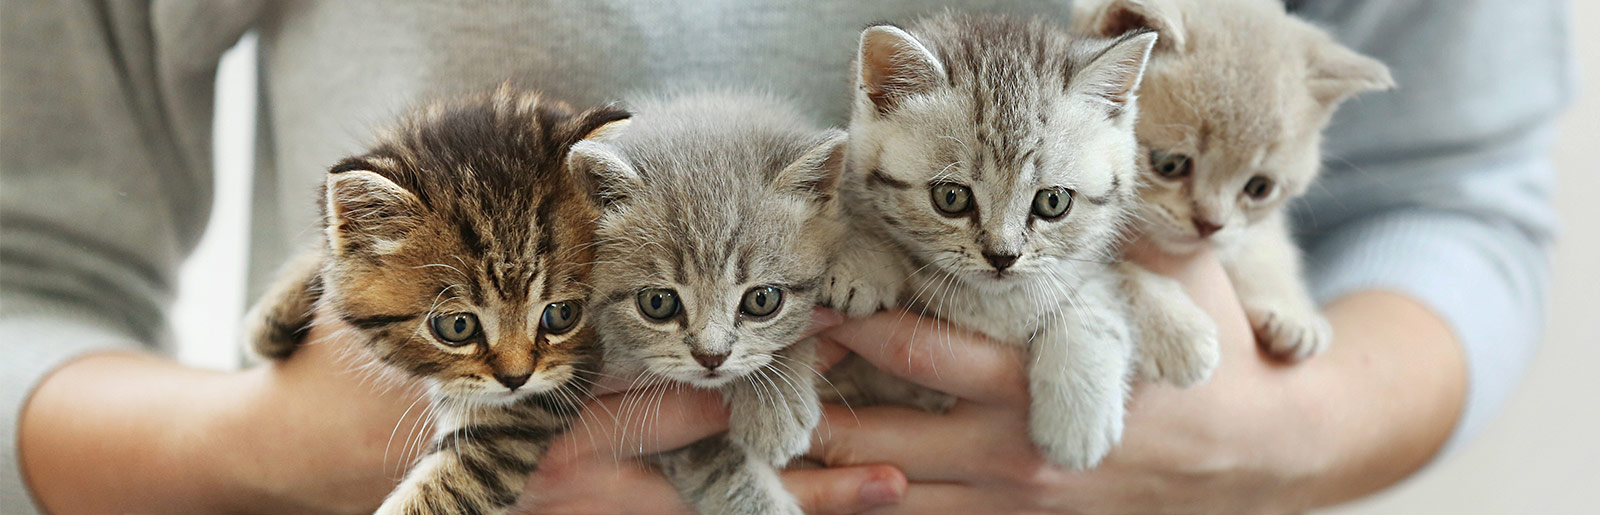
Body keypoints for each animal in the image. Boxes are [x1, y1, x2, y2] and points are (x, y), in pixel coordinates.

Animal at [243, 86, 630, 511]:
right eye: (457, 326)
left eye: (562, 314)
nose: (516, 378)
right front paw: (271, 318)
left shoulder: (527, 409)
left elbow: (446, 487)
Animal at [825, 13, 1164, 470]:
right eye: (951, 197)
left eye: (1053, 201)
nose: (1002, 257)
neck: (989, 307)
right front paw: (860, 260)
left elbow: (1093, 301)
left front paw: (1077, 415)